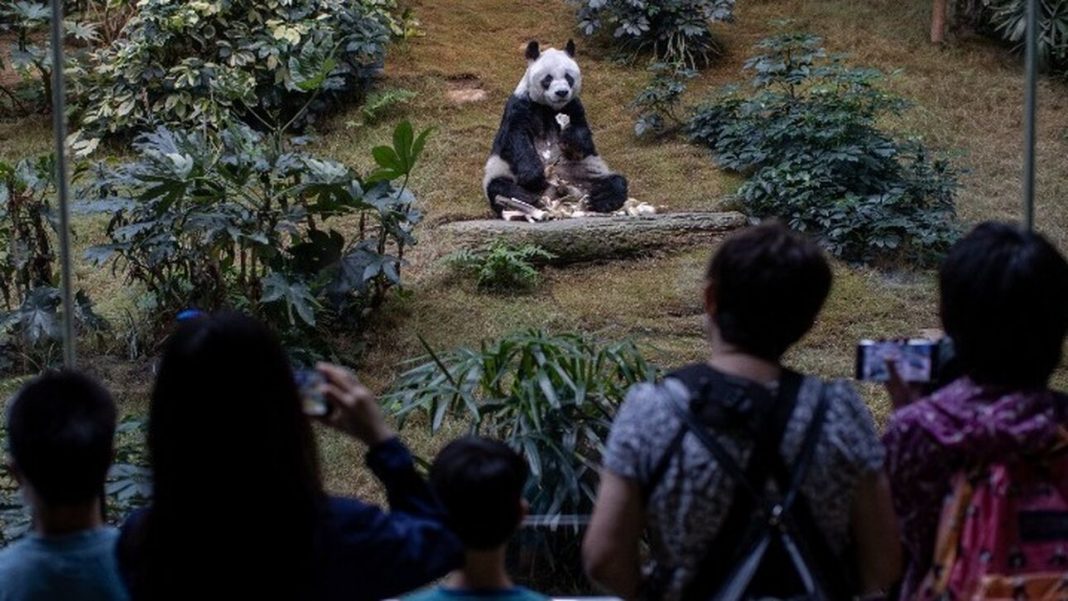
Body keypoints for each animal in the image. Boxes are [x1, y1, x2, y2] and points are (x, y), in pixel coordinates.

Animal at [482, 38, 623, 216]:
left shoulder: (573, 105)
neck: (548, 107)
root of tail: (555, 193)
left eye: (568, 77)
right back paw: (528, 198)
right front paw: (534, 176)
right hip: (502, 170)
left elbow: (584, 136)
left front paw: (570, 140)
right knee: (499, 187)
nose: (561, 92)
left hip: (587, 172)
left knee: (615, 182)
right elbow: (515, 137)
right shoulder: (520, 105)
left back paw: (600, 200)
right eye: (548, 78)